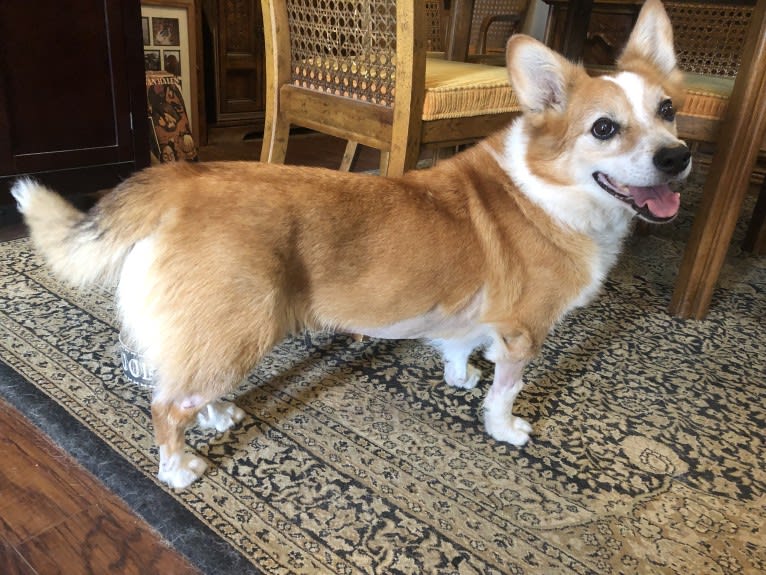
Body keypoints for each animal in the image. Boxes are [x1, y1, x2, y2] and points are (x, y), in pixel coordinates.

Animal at [15, 0, 692, 490]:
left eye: (669, 110)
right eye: (603, 128)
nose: (679, 157)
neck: (551, 189)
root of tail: (179, 178)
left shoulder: (471, 318)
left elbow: (459, 349)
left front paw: (461, 377)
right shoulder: (525, 332)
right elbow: (505, 393)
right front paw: (504, 428)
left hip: (220, 335)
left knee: (185, 385)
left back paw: (217, 415)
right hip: (243, 329)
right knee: (165, 406)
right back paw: (179, 469)